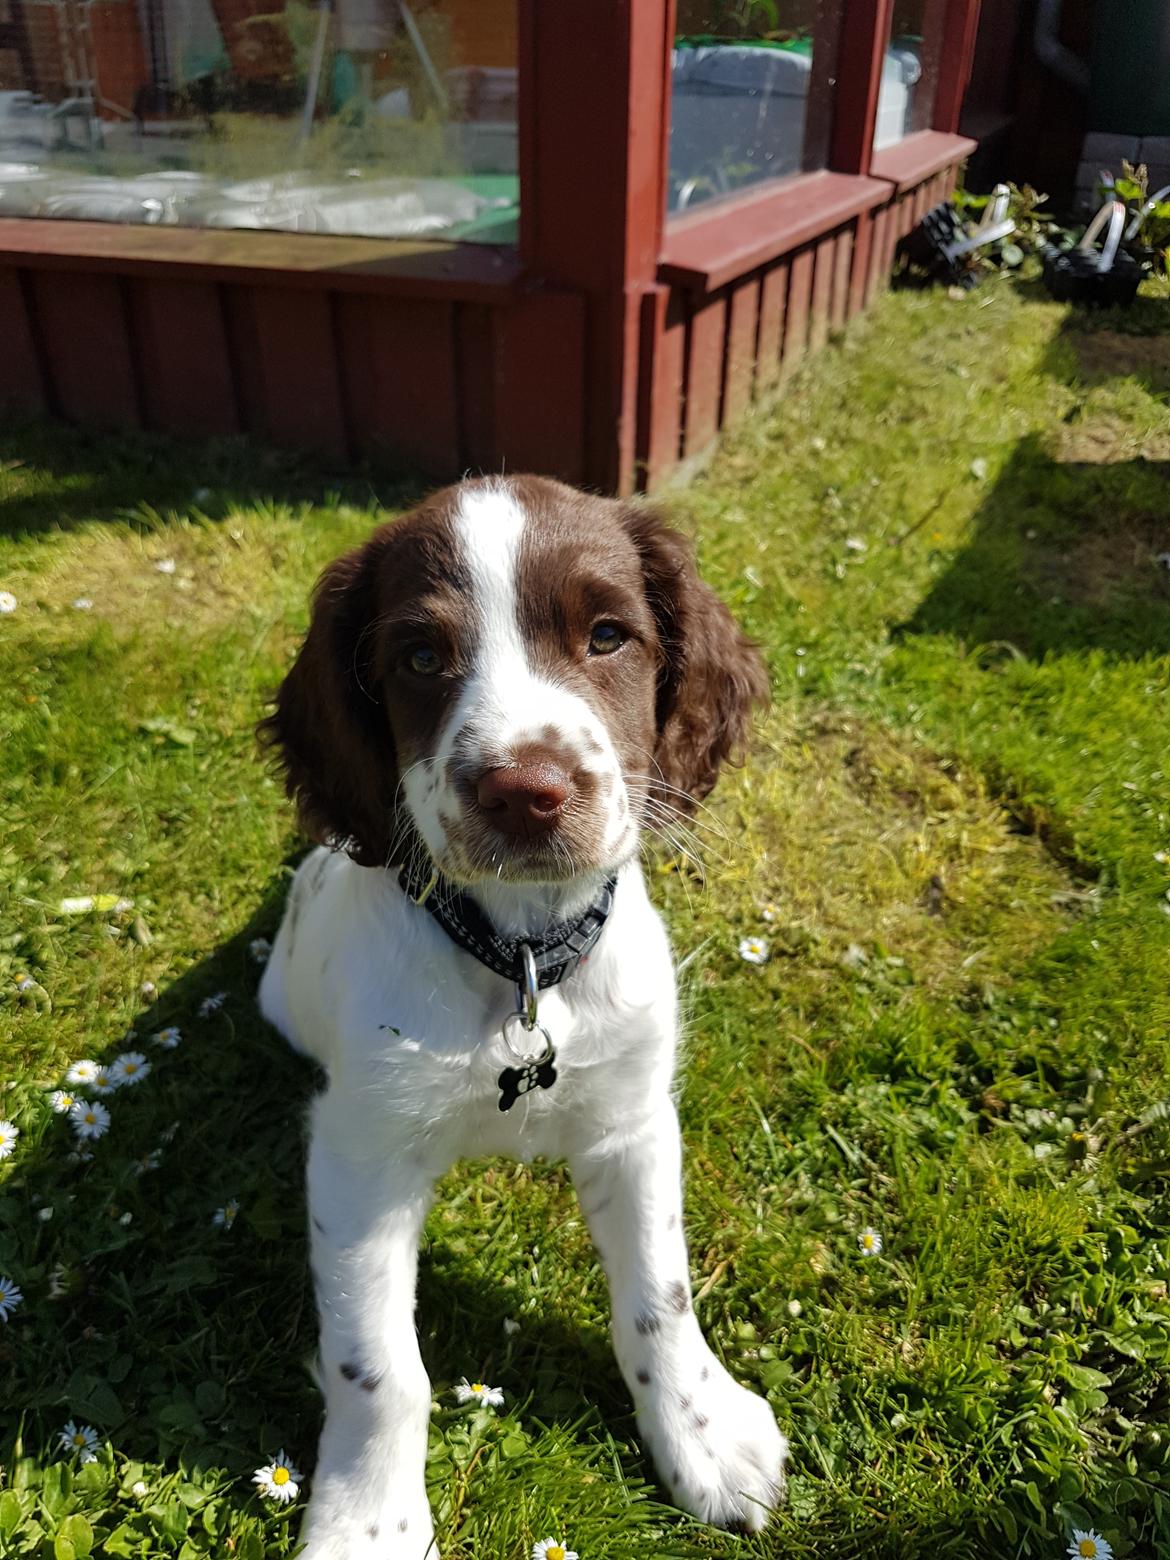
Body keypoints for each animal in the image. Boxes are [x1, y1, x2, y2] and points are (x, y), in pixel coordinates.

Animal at [260, 474, 783, 1560]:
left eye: (608, 635)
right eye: (420, 658)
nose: (525, 793)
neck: (522, 962)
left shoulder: (635, 1122)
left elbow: (661, 1300)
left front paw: (704, 1439)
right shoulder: (358, 1160)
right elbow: (376, 1365)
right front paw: (370, 1521)